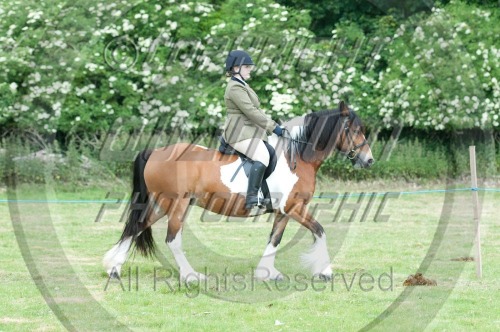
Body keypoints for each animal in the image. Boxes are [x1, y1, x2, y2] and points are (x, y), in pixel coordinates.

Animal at [103, 100, 374, 282]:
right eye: (354, 130)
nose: (369, 160)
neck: (295, 156)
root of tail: (155, 152)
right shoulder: (295, 207)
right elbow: (320, 231)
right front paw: (325, 271)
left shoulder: (283, 212)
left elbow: (274, 240)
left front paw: (267, 273)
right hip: (176, 204)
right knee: (172, 239)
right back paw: (191, 276)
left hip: (161, 204)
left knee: (136, 228)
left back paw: (114, 269)